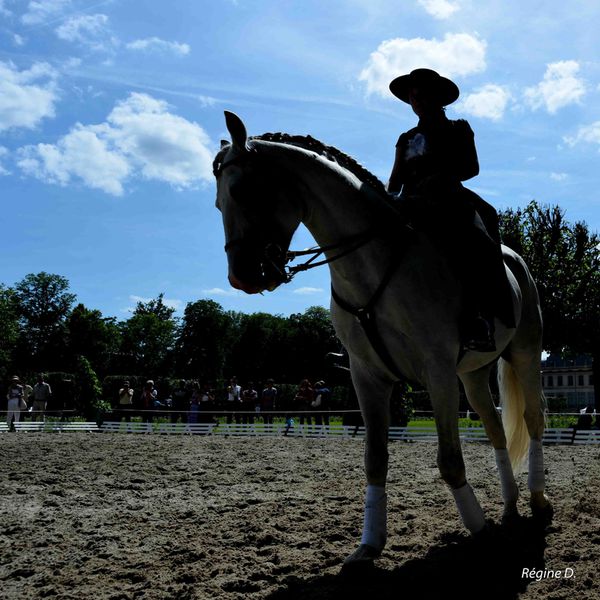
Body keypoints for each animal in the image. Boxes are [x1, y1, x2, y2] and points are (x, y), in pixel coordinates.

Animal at [214, 111, 552, 568]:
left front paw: (479, 531)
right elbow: (375, 459)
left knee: (532, 420)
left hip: (524, 354)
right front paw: (368, 545)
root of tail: (514, 259)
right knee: (496, 429)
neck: (372, 264)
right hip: (473, 375)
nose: (243, 277)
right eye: (219, 202)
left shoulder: (437, 373)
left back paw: (536, 500)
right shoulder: (367, 376)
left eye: (242, 190)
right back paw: (510, 505)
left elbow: (450, 461)